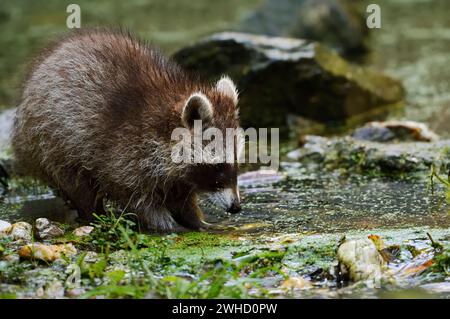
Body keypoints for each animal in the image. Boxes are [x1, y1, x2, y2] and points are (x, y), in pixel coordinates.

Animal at [11, 28, 243, 231]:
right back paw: (93, 215)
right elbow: (135, 197)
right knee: (78, 185)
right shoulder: (125, 153)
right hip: (51, 142)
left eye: (236, 162)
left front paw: (196, 221)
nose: (236, 207)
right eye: (218, 166)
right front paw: (167, 224)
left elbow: (181, 197)